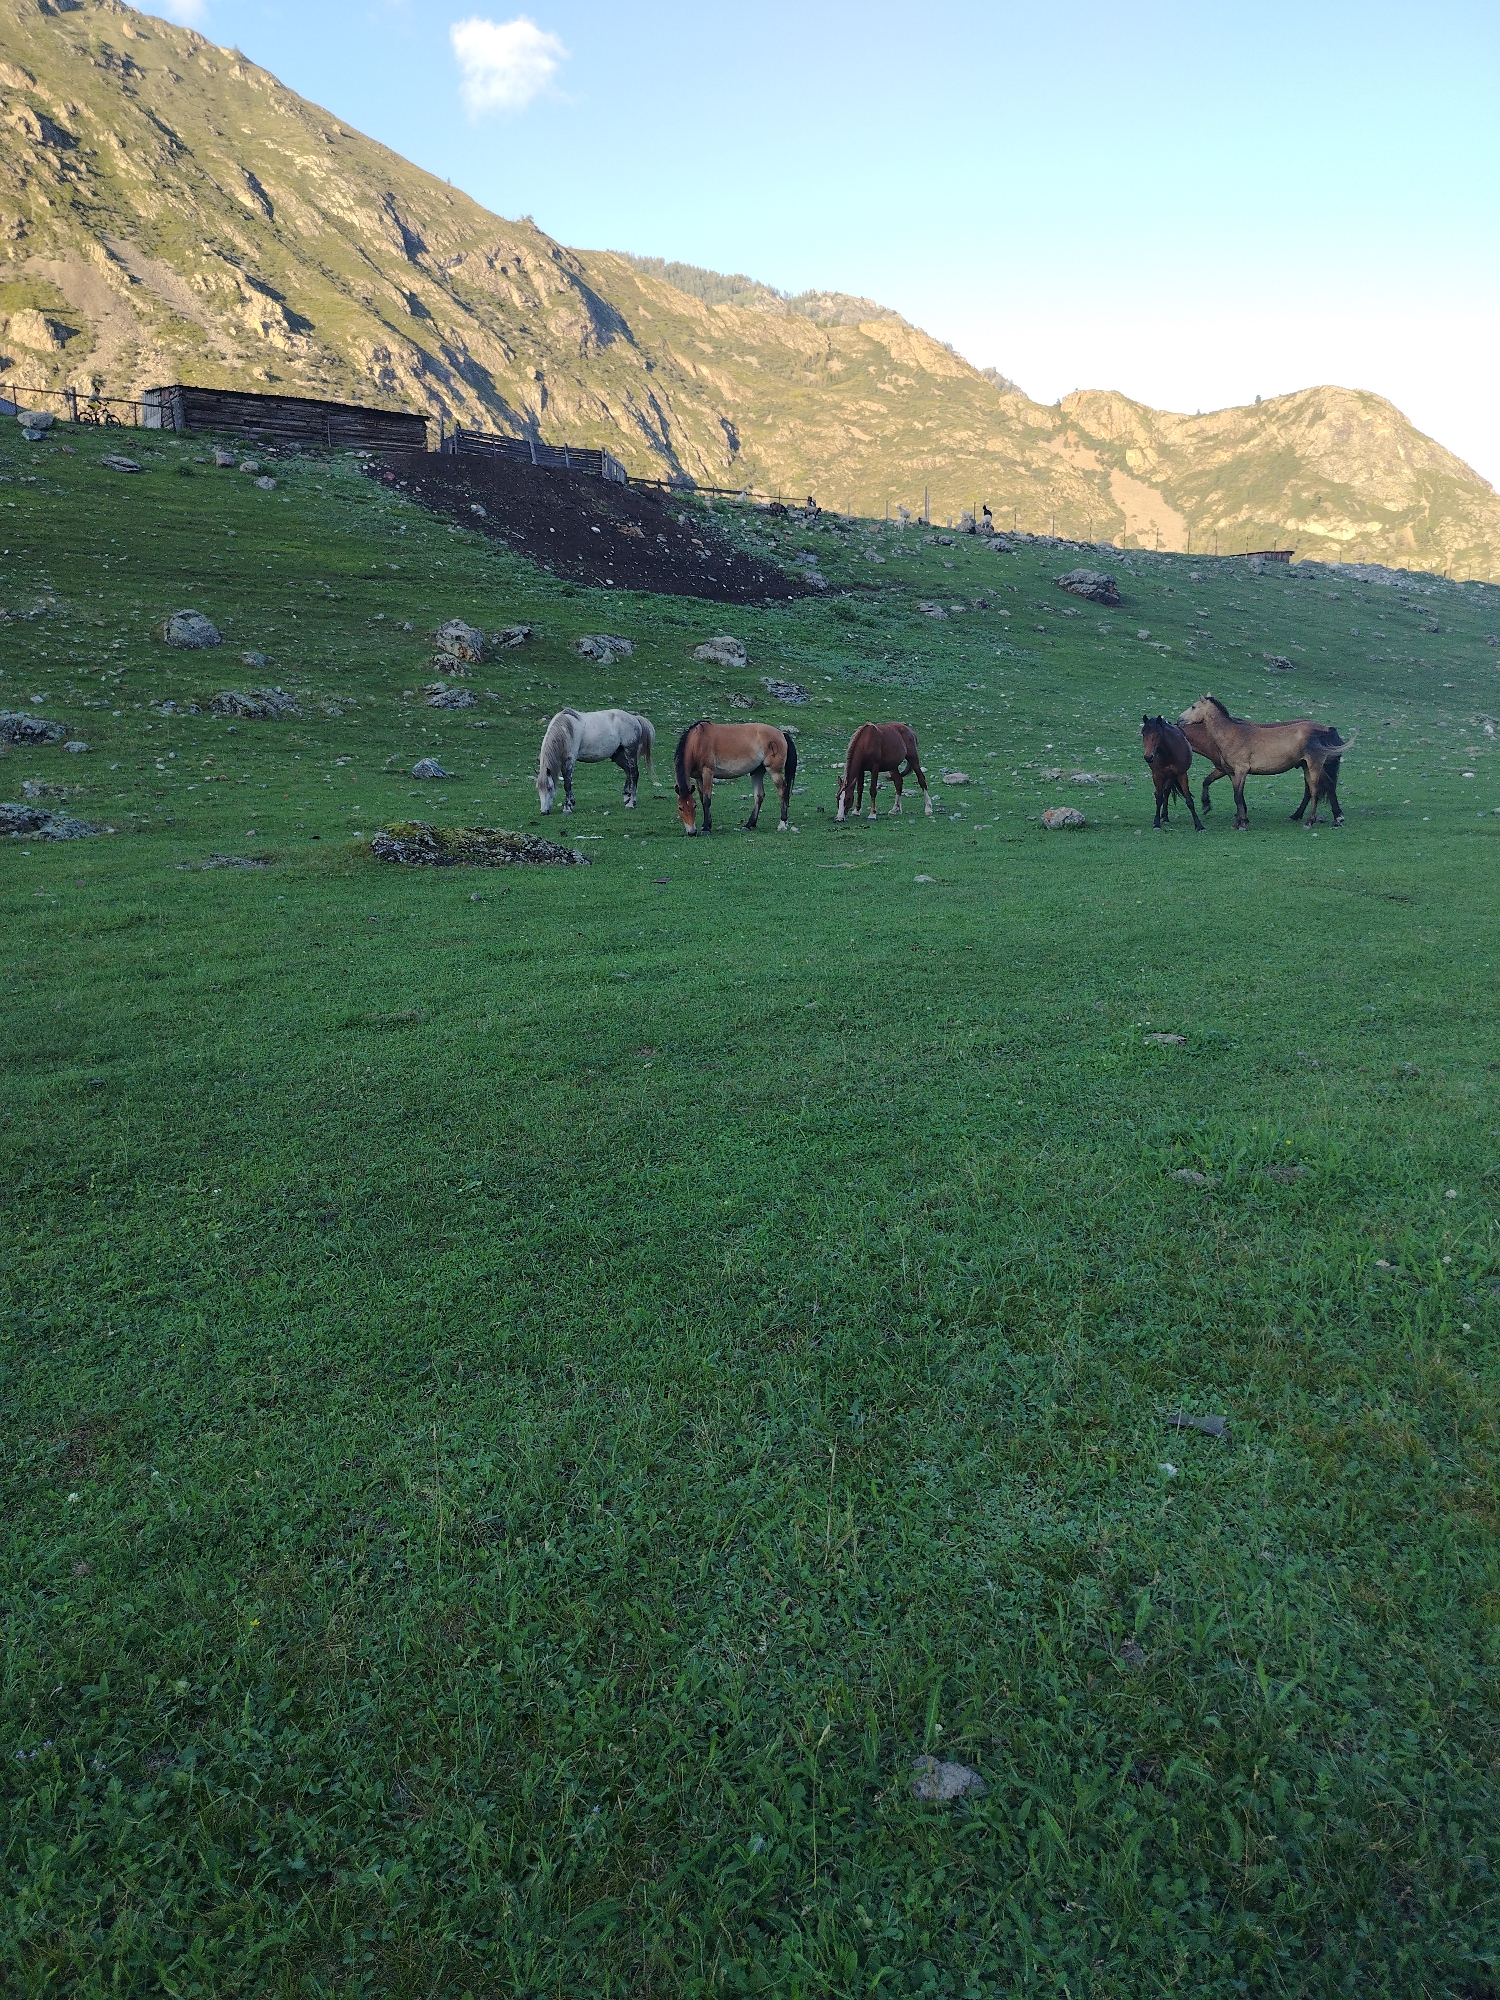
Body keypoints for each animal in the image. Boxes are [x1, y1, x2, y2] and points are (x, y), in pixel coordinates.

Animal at [1177, 695, 1349, 830]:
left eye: (1193, 706)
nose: (1179, 720)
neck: (1232, 734)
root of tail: (1326, 729)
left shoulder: (1241, 771)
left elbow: (1238, 796)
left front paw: (1242, 824)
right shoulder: (1231, 773)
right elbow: (1235, 795)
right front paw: (1237, 822)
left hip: (1314, 766)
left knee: (1315, 791)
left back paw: (1312, 821)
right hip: (1307, 766)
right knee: (1320, 787)